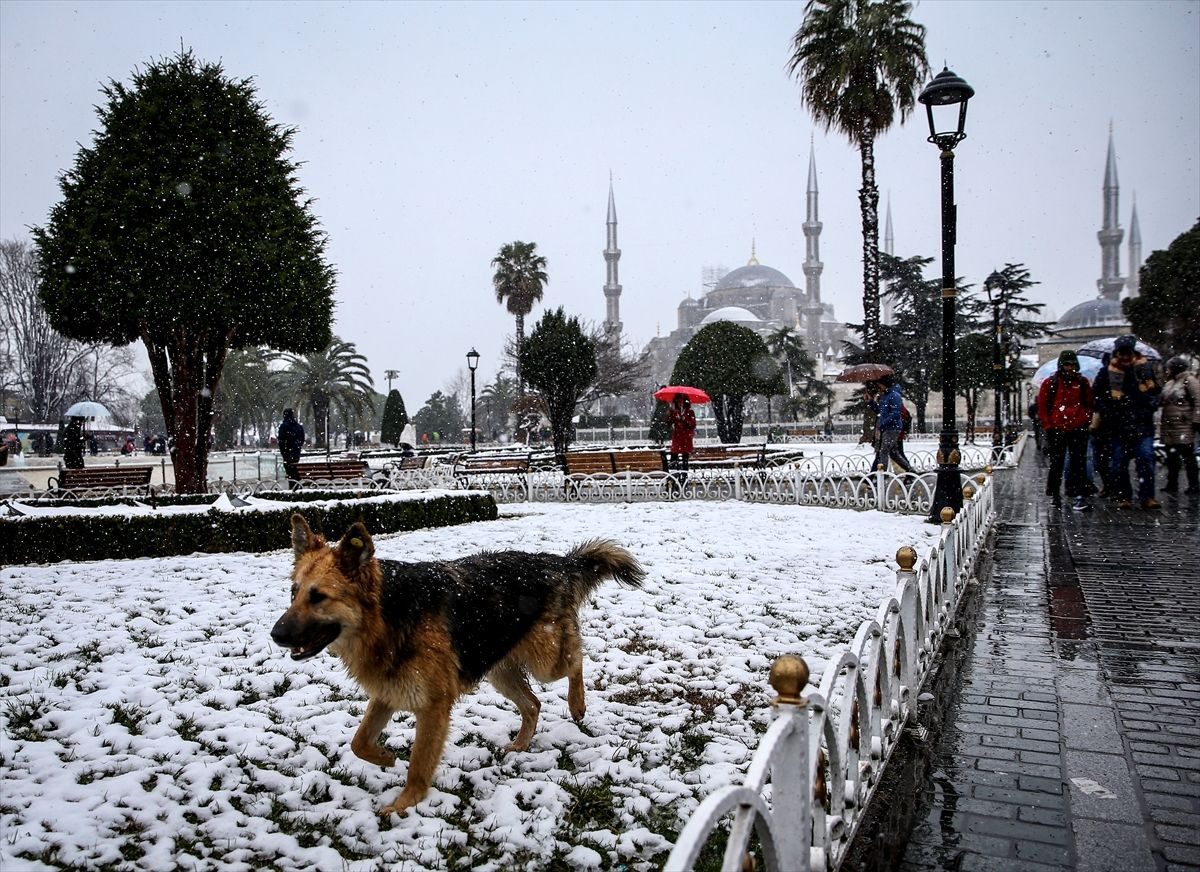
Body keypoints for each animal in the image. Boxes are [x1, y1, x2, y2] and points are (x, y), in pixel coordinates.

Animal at [272, 510, 648, 820]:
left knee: (576, 660)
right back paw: (520, 744)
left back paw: (577, 703)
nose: (276, 635)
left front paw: (404, 803)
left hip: (544, 660)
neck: (389, 614)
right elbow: (358, 741)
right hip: (500, 671)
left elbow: (419, 765)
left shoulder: (433, 706)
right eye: (293, 593)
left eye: (318, 597)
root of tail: (557, 562)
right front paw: (386, 757)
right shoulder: (389, 691)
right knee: (533, 703)